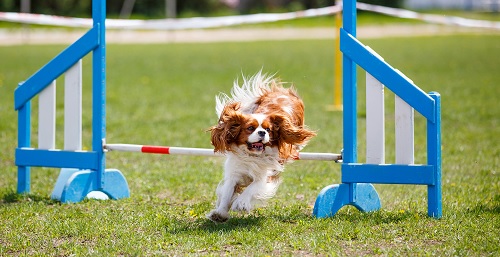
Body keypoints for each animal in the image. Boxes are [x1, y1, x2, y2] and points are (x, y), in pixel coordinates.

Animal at [205, 70, 314, 222]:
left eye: (268, 129)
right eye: (250, 128)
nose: (262, 132)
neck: (252, 156)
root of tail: (281, 91)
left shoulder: (267, 175)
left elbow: (253, 187)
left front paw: (241, 202)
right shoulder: (234, 172)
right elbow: (227, 193)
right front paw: (220, 213)